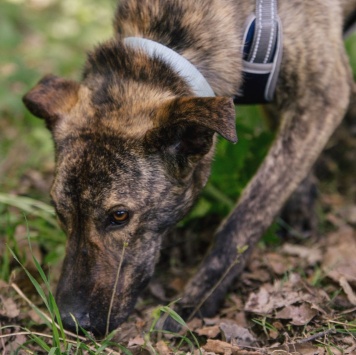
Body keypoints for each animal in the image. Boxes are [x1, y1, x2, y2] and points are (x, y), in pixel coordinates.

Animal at [22, 0, 356, 336]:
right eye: (58, 210)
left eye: (119, 216)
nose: (71, 321)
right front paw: (303, 209)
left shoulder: (324, 94)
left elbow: (245, 219)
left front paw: (194, 302)